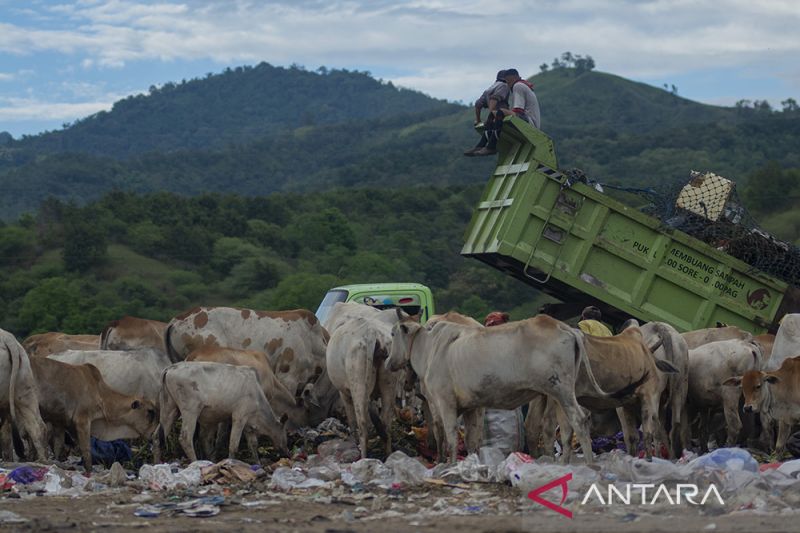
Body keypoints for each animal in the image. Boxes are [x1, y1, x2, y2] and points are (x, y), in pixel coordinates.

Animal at [30, 356, 158, 468]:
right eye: (150, 411)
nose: (154, 434)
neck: (101, 394)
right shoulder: (82, 420)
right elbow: (87, 452)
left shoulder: (59, 422)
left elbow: (58, 447)